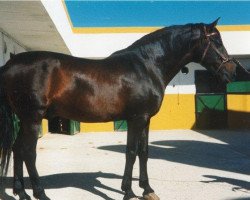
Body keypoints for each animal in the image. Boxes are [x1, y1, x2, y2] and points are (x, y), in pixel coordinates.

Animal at [0, 19, 237, 200]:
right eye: (216, 41)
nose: (232, 71)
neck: (147, 66)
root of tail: (10, 65)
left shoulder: (146, 119)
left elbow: (144, 152)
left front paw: (147, 189)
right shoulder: (137, 118)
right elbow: (131, 152)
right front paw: (129, 191)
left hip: (24, 119)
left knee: (16, 149)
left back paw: (22, 193)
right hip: (32, 118)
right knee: (28, 152)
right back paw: (40, 193)